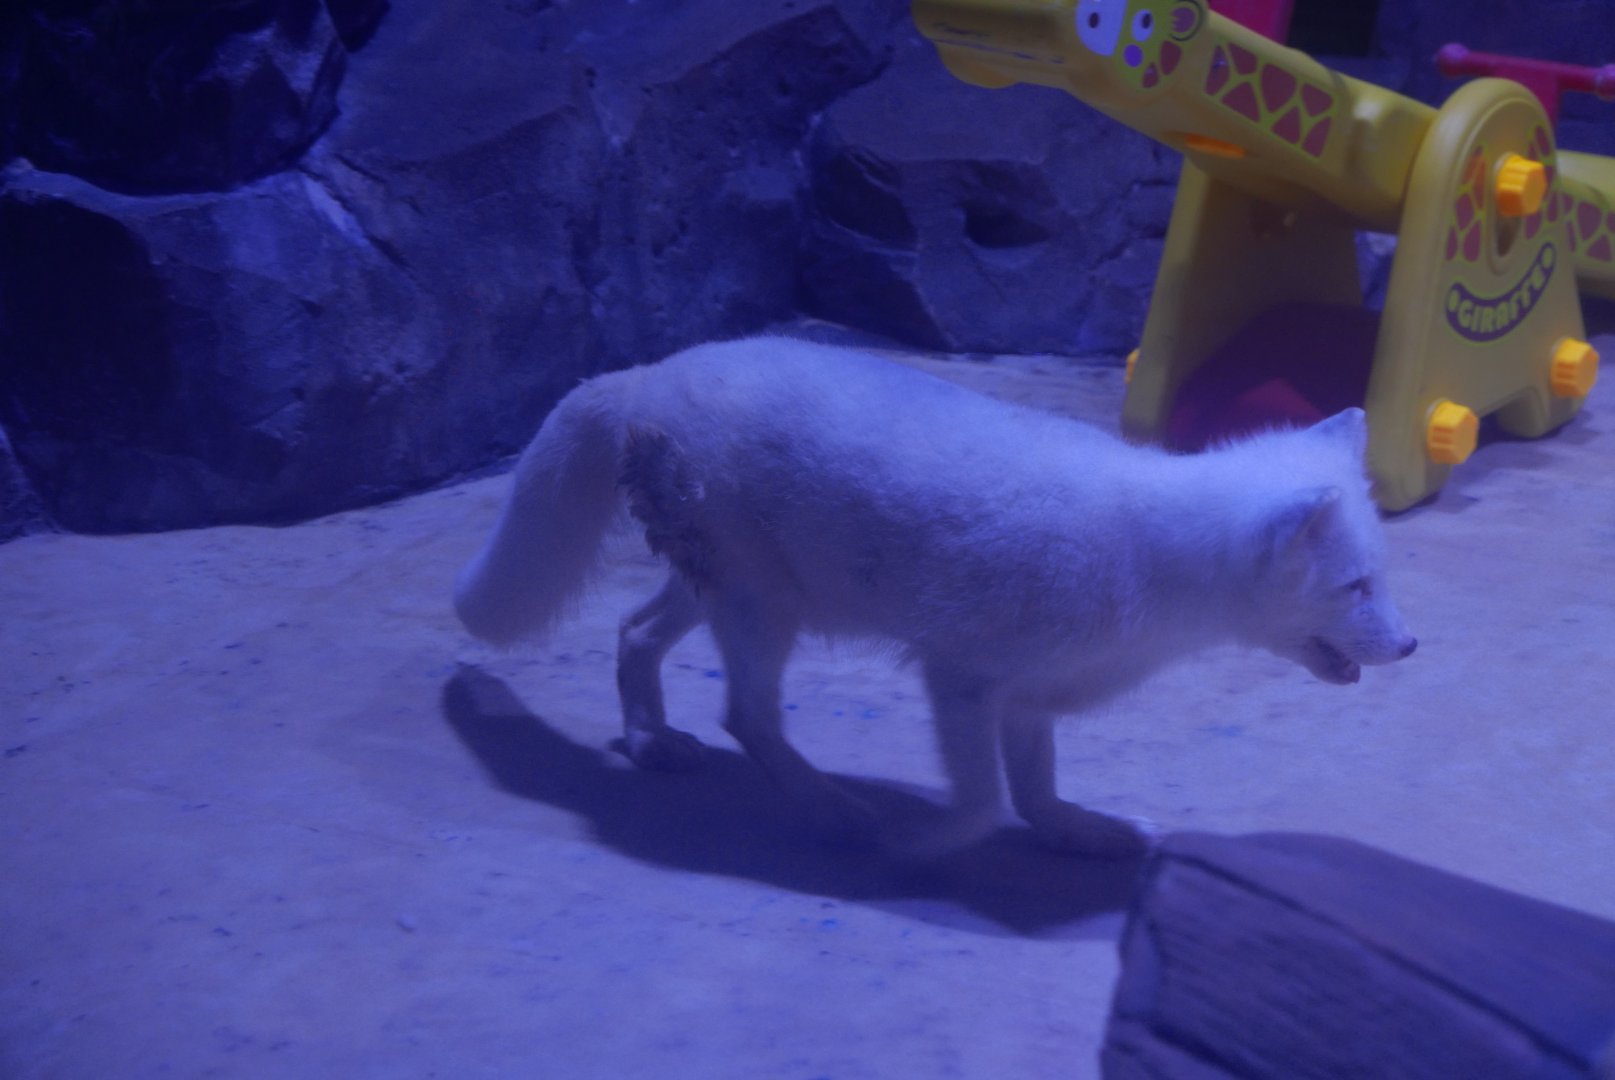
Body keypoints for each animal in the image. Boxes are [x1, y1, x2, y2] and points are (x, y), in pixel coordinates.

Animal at [454, 337, 1417, 857]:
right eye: (1354, 586)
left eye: (1380, 579)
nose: (1411, 648)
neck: (1151, 565)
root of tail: (646, 371)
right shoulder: (958, 677)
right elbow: (985, 805)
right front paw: (918, 845)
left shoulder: (1030, 699)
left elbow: (1034, 792)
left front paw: (1078, 833)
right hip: (762, 608)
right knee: (744, 715)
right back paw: (832, 813)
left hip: (717, 590)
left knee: (631, 632)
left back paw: (650, 741)